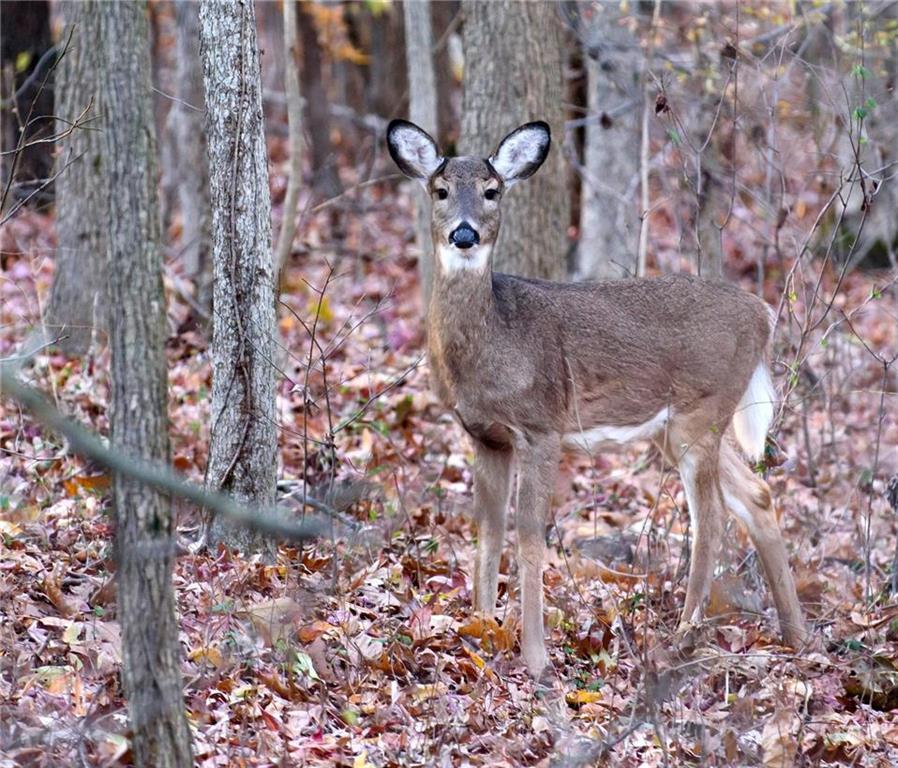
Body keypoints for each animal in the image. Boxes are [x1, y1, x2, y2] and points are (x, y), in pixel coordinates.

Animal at [384, 117, 804, 676]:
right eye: (441, 190)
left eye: (493, 191)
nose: (465, 233)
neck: (496, 339)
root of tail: (764, 314)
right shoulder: (485, 435)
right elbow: (487, 533)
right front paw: (481, 631)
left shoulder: (541, 425)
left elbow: (529, 538)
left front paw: (535, 657)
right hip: (675, 425)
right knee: (756, 494)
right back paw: (799, 636)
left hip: (702, 410)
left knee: (711, 519)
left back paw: (683, 637)